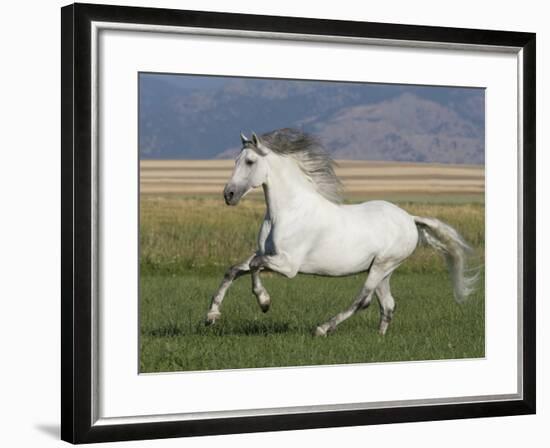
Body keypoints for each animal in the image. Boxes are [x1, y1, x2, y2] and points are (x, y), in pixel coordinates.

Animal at [207, 130, 478, 336]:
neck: (287, 212)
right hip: (383, 270)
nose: (228, 195)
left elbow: (254, 266)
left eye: (250, 161)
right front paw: (211, 316)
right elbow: (233, 270)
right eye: (235, 161)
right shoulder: (266, 254)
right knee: (387, 304)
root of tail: (410, 219)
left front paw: (264, 303)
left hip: (383, 265)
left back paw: (323, 329)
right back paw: (379, 339)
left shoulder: (288, 265)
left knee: (363, 300)